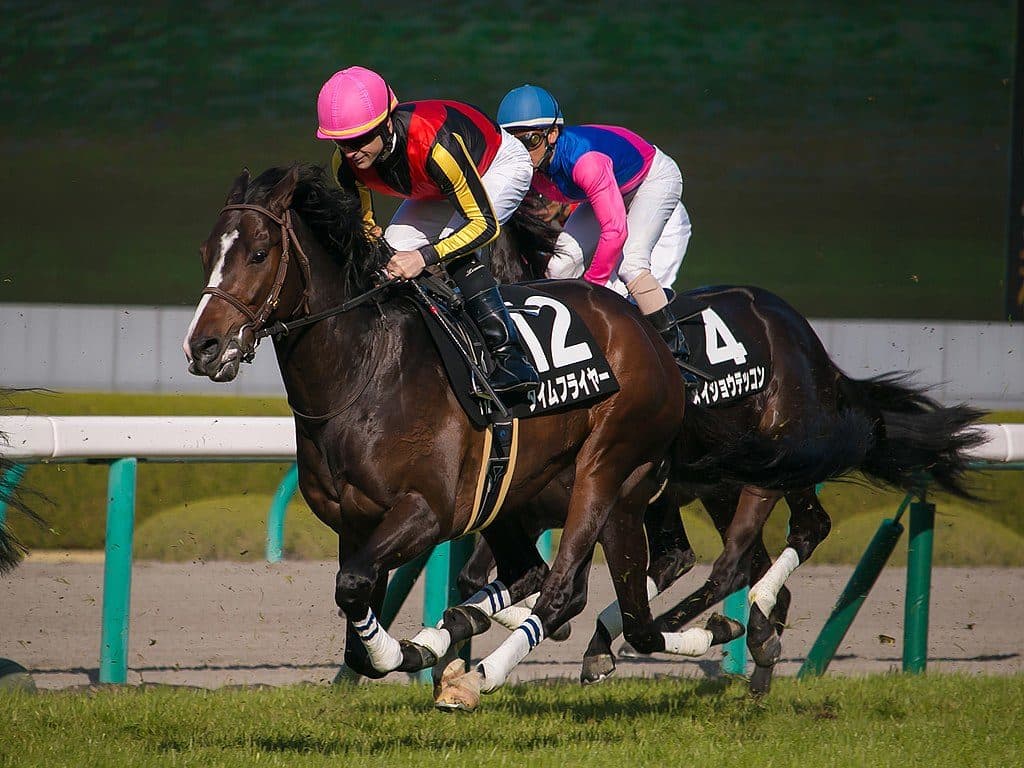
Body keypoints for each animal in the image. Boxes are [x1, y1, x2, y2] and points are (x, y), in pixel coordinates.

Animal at [184, 163, 840, 709]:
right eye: (206, 252)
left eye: (259, 253)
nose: (203, 347)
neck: (367, 371)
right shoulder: (361, 522)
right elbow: (361, 607)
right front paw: (420, 647)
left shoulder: (430, 509)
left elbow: (374, 588)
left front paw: (434, 653)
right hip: (667, 490)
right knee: (671, 579)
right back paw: (747, 647)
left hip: (645, 471)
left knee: (736, 554)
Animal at [460, 210, 986, 695]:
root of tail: (809, 341)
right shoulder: (529, 505)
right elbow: (480, 577)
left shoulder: (596, 496)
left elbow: (562, 584)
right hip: (722, 485)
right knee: (744, 561)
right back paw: (755, 656)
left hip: (776, 464)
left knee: (762, 550)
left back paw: (715, 632)